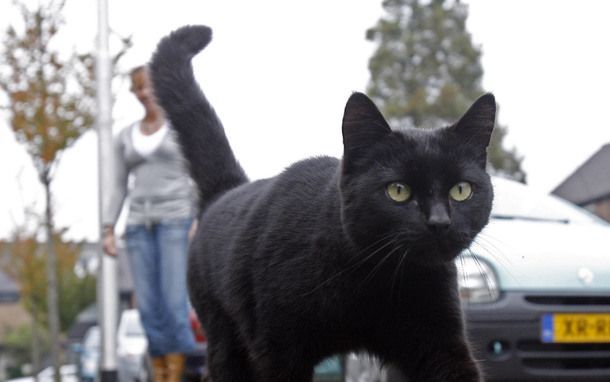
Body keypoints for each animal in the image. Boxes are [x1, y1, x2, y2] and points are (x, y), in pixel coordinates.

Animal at [148, 25, 494, 380]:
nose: (439, 222)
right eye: (398, 190)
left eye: (461, 190)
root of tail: (227, 190)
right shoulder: (278, 351)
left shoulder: (442, 343)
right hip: (226, 343)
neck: (374, 276)